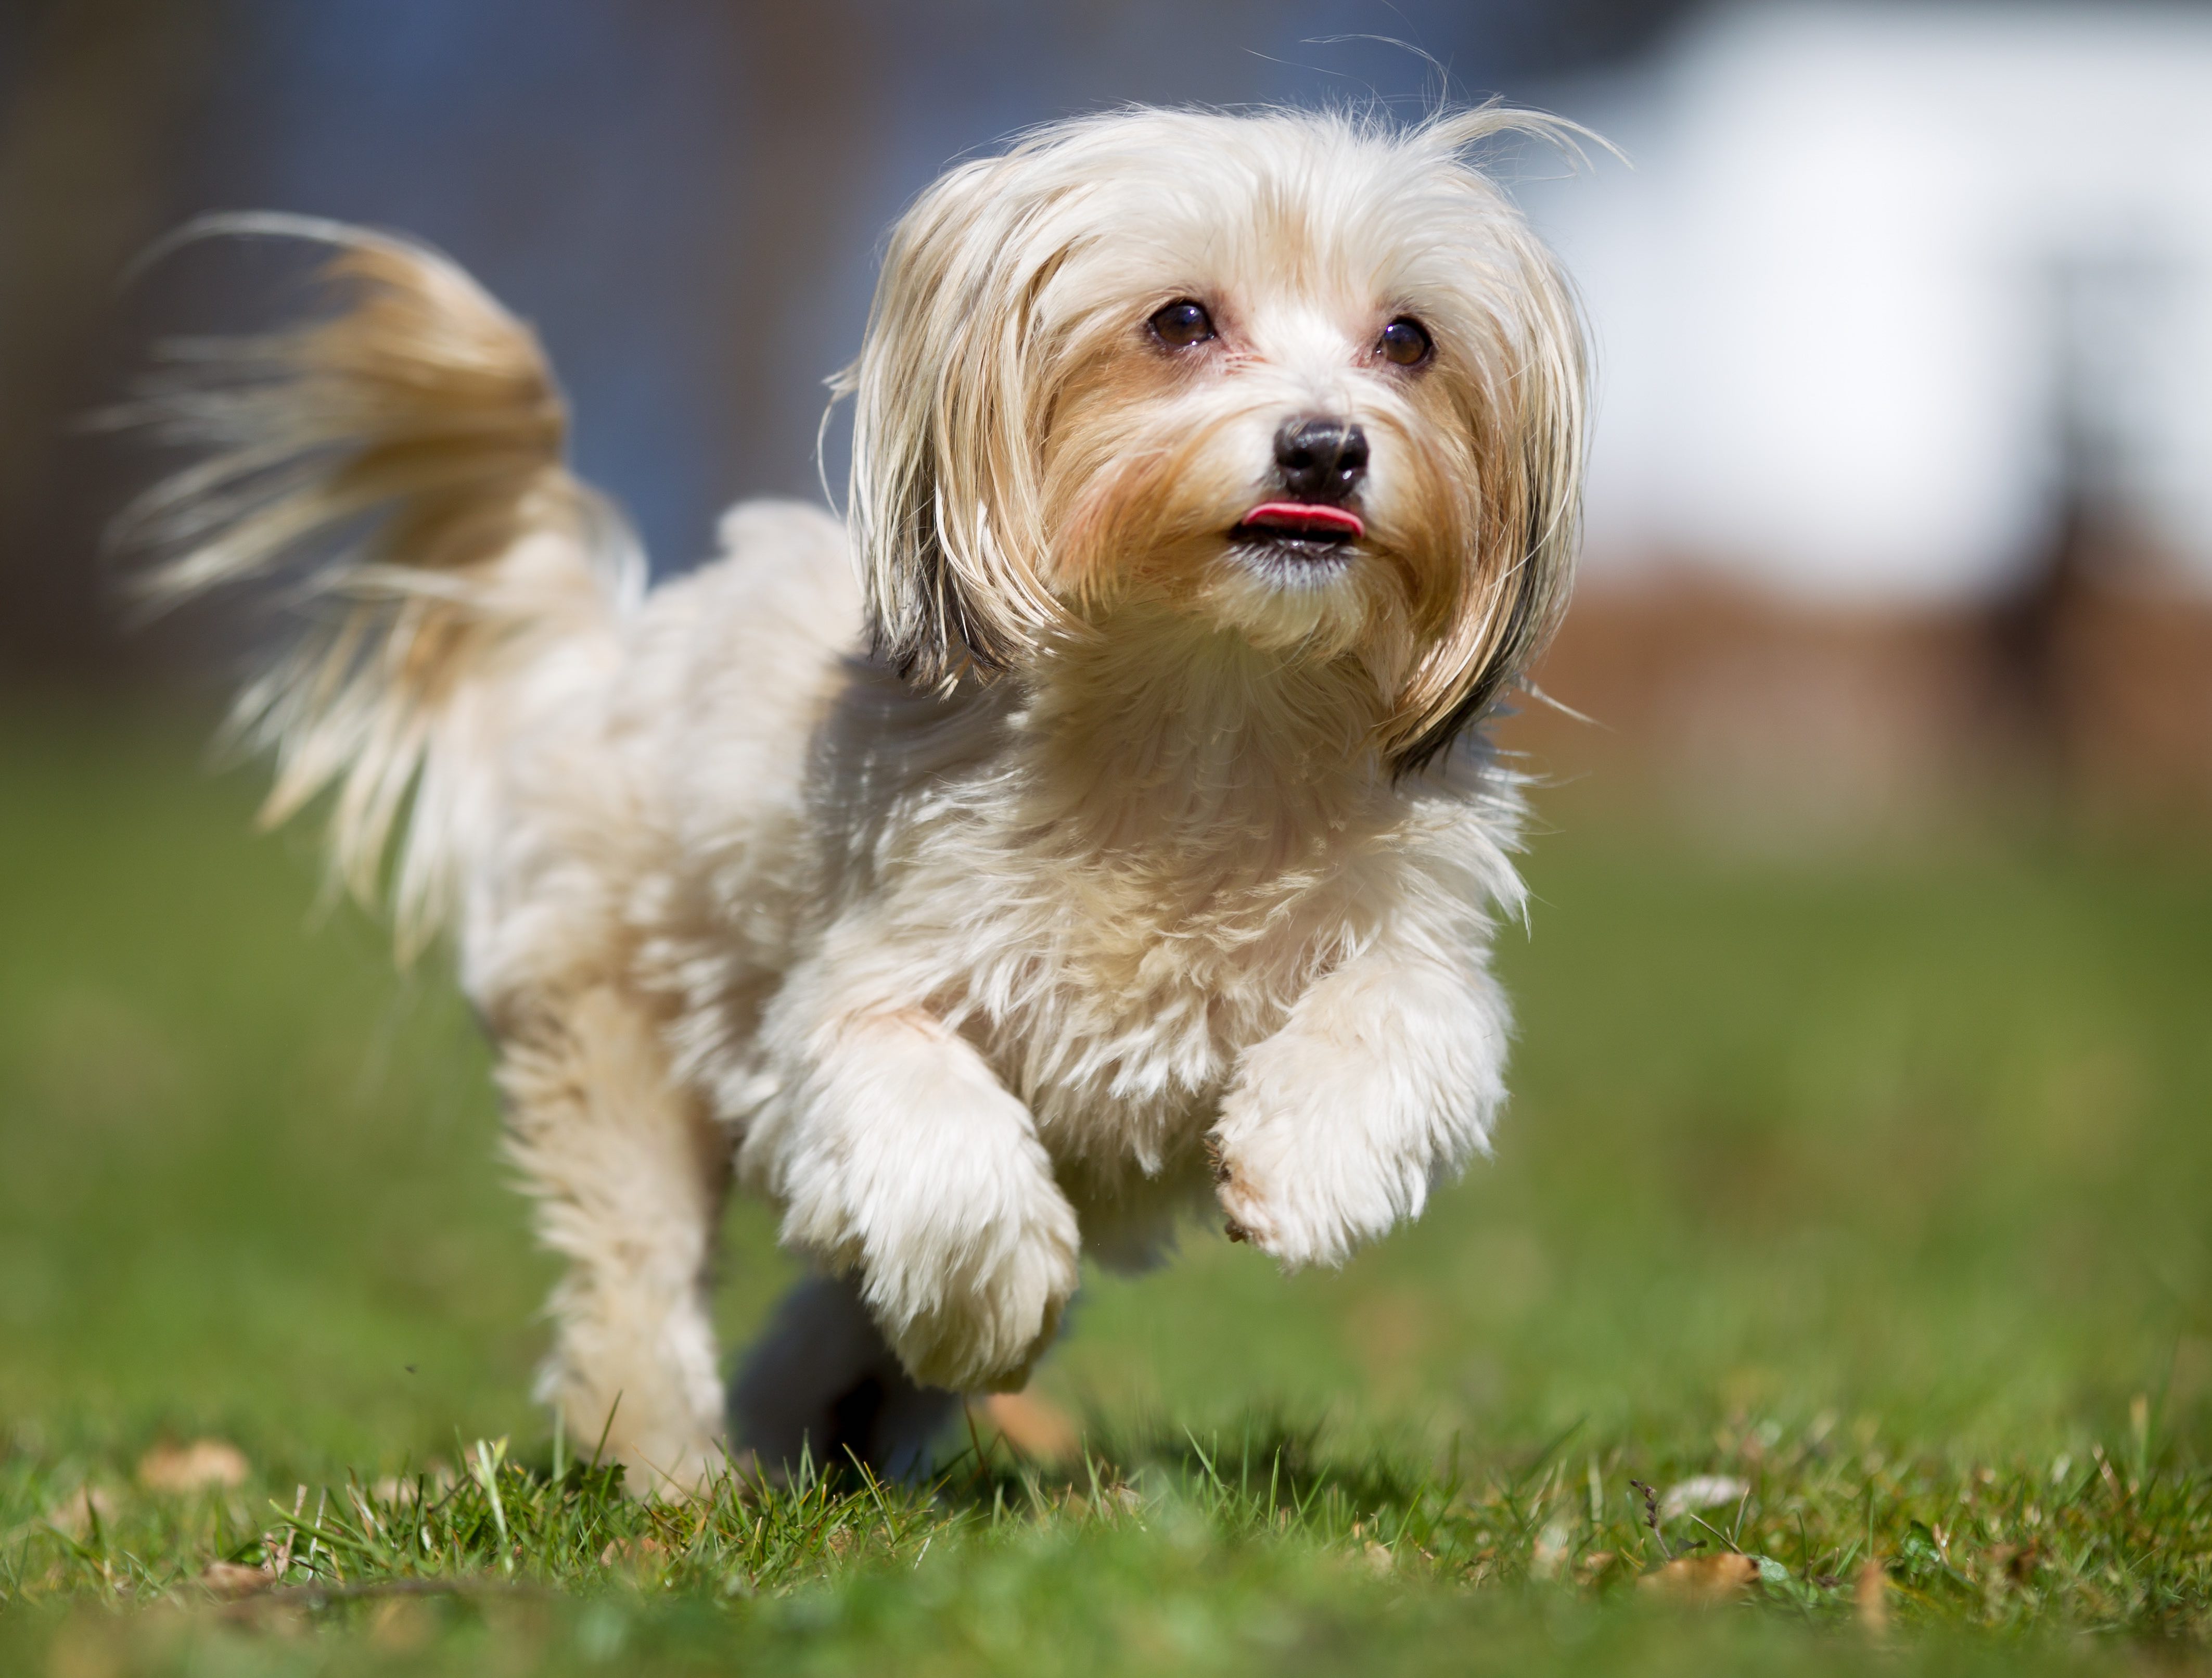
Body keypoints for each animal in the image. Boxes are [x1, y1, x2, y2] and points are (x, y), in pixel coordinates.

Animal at [117, 105, 1592, 1496]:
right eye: (1180, 321)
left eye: (1407, 339)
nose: (1328, 447)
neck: (1206, 715)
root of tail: (605, 662)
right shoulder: (844, 1012)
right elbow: (936, 1149)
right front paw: (998, 1298)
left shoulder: (1413, 932)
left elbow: (1408, 1019)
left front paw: (1306, 1163)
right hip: (615, 1036)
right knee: (641, 1275)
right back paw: (678, 1467)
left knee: (834, 1303)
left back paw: (822, 1414)